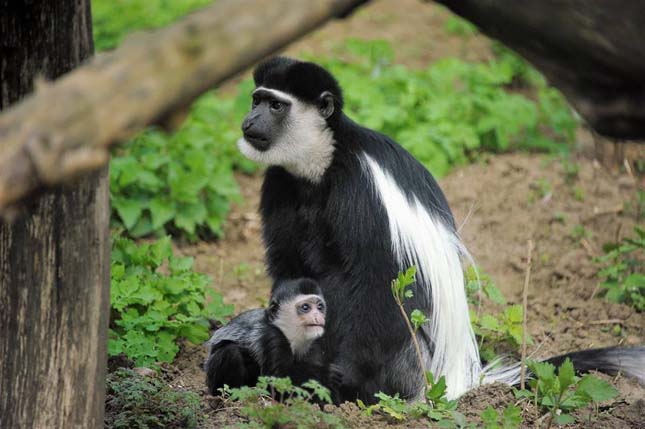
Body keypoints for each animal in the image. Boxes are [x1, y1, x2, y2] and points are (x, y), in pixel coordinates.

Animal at [236, 56, 644, 402]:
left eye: (275, 106)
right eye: (257, 99)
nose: (248, 122)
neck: (323, 163)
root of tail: (452, 377)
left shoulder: (361, 188)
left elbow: (377, 281)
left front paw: (339, 379)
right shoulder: (280, 182)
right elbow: (290, 269)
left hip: (409, 361)